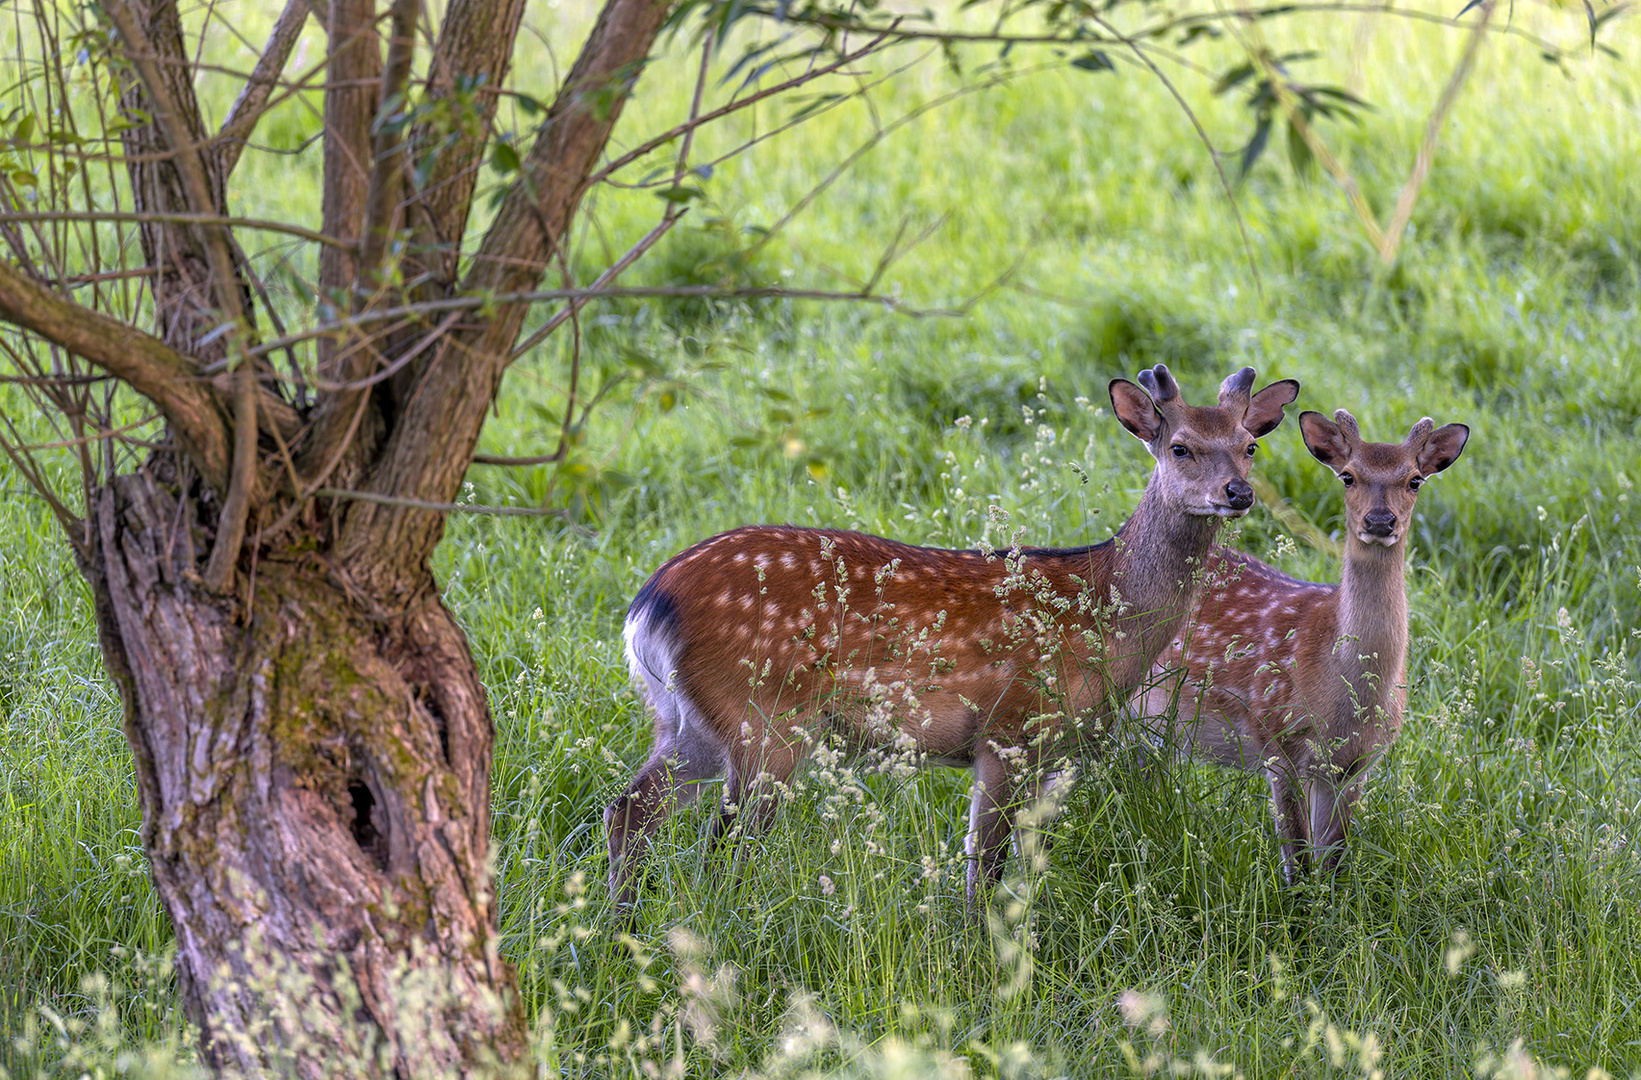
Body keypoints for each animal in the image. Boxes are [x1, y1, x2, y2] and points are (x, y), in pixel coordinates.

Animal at [603, 364, 1293, 906]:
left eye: (1249, 446)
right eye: (1179, 446)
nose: (1237, 493)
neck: (1104, 610)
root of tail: (648, 607)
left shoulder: (1052, 751)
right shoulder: (1009, 728)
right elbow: (982, 866)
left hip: (689, 717)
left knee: (630, 807)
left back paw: (622, 924)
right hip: (764, 719)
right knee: (726, 843)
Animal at [1135, 408, 1470, 879]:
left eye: (1415, 480)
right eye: (1348, 476)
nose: (1380, 521)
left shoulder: (1355, 764)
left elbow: (1334, 859)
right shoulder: (1277, 736)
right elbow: (1297, 857)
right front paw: (1296, 899)